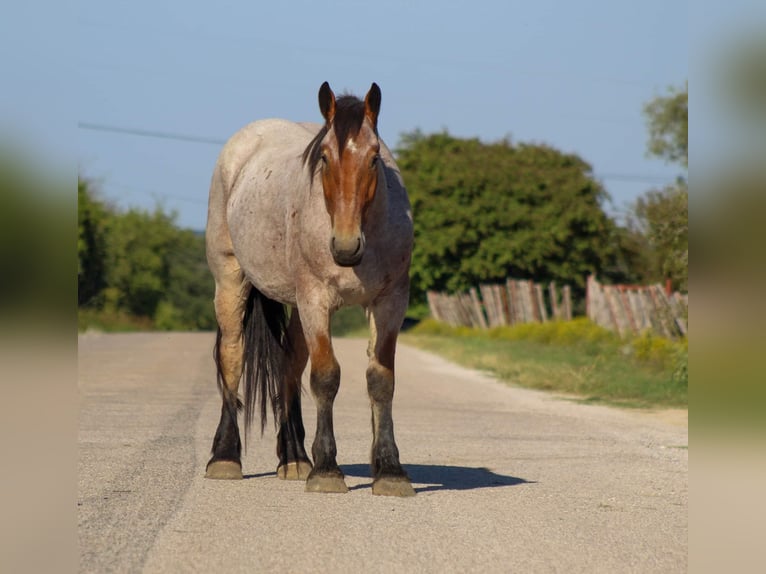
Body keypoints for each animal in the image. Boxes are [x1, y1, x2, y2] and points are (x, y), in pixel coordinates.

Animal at [204, 82, 416, 500]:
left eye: (373, 158)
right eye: (324, 157)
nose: (346, 247)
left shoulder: (389, 303)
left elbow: (381, 379)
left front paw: (390, 471)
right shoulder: (316, 301)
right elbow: (326, 377)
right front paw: (328, 470)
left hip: (297, 305)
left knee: (289, 363)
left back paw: (295, 458)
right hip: (232, 281)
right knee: (232, 357)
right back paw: (225, 458)